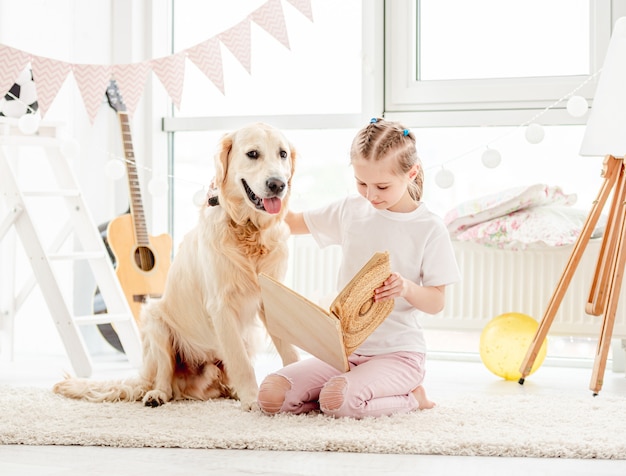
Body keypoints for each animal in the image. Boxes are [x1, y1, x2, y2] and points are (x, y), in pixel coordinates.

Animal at [51, 122, 300, 410]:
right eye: (252, 154)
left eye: (282, 154)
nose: (277, 184)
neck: (248, 230)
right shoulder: (221, 305)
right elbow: (240, 362)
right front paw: (252, 398)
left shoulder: (272, 298)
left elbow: (289, 349)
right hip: (155, 320)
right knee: (165, 378)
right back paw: (157, 395)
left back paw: (230, 391)